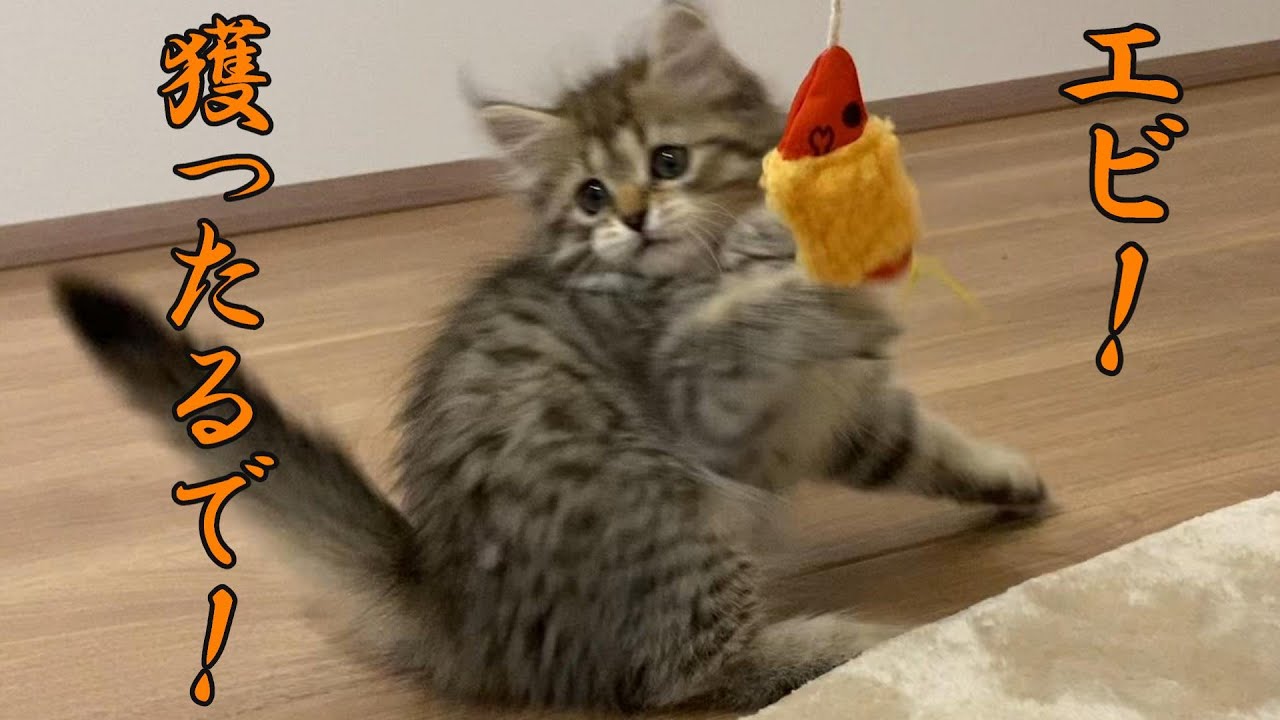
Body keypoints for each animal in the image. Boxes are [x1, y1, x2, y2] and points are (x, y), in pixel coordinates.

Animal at [53, 2, 1047, 712]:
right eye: (592, 196)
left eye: (670, 160)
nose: (635, 218)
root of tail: (450, 598)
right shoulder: (707, 401)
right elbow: (751, 322)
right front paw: (816, 275)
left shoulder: (840, 415)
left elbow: (927, 449)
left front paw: (1013, 483)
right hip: (667, 506)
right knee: (690, 677)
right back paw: (862, 643)